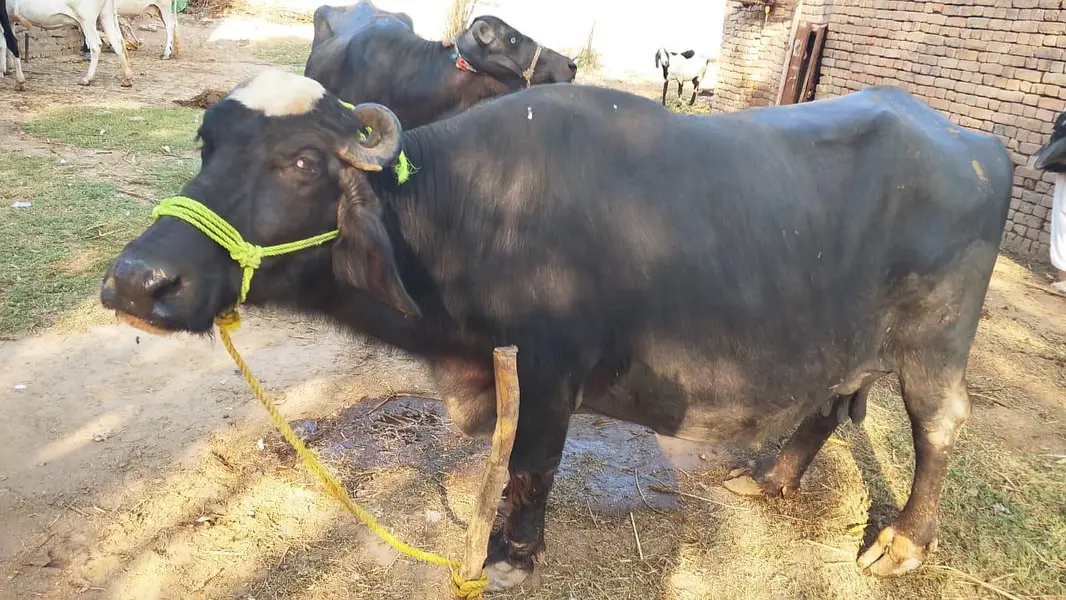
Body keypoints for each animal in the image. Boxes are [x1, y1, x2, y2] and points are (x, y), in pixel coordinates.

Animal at [99, 69, 1012, 589]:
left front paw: (515, 551)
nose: (139, 281)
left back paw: (903, 545)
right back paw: (771, 479)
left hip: (935, 343)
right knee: (829, 400)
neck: (472, 211)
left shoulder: (552, 369)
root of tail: (977, 144)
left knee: (939, 425)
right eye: (206, 145)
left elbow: (533, 466)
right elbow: (508, 465)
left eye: (301, 162)